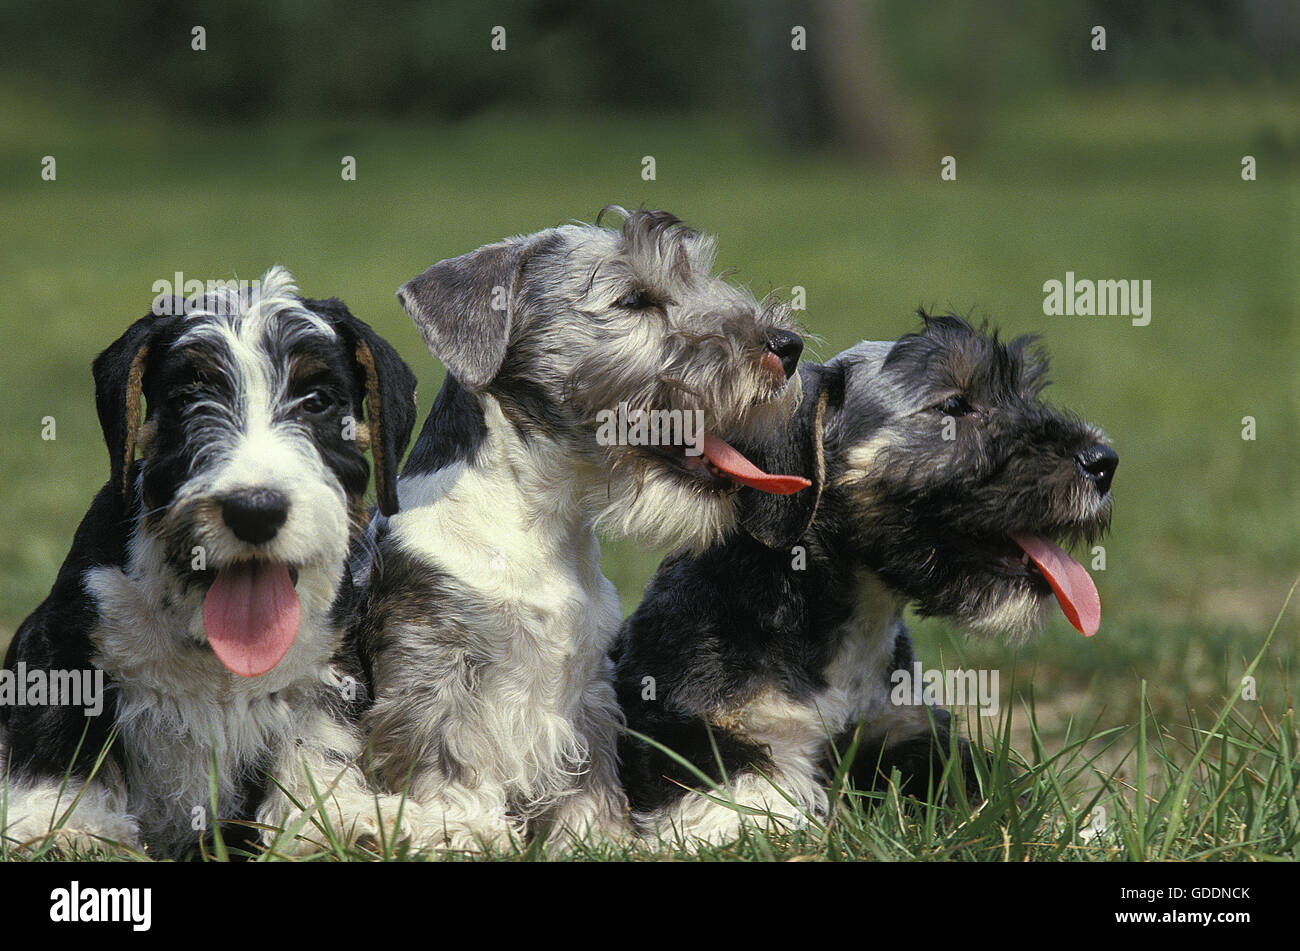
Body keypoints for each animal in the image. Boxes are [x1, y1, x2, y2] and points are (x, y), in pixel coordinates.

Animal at [0, 267, 416, 862]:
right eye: (189, 397)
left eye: (316, 400)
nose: (255, 508)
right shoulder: (63, 644)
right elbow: (60, 740)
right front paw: (65, 826)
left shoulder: (328, 669)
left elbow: (316, 741)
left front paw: (329, 822)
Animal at [611, 315, 1118, 841]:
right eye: (955, 406)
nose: (1104, 461)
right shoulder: (682, 725)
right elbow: (743, 790)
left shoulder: (908, 732)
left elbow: (976, 786)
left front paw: (1075, 830)